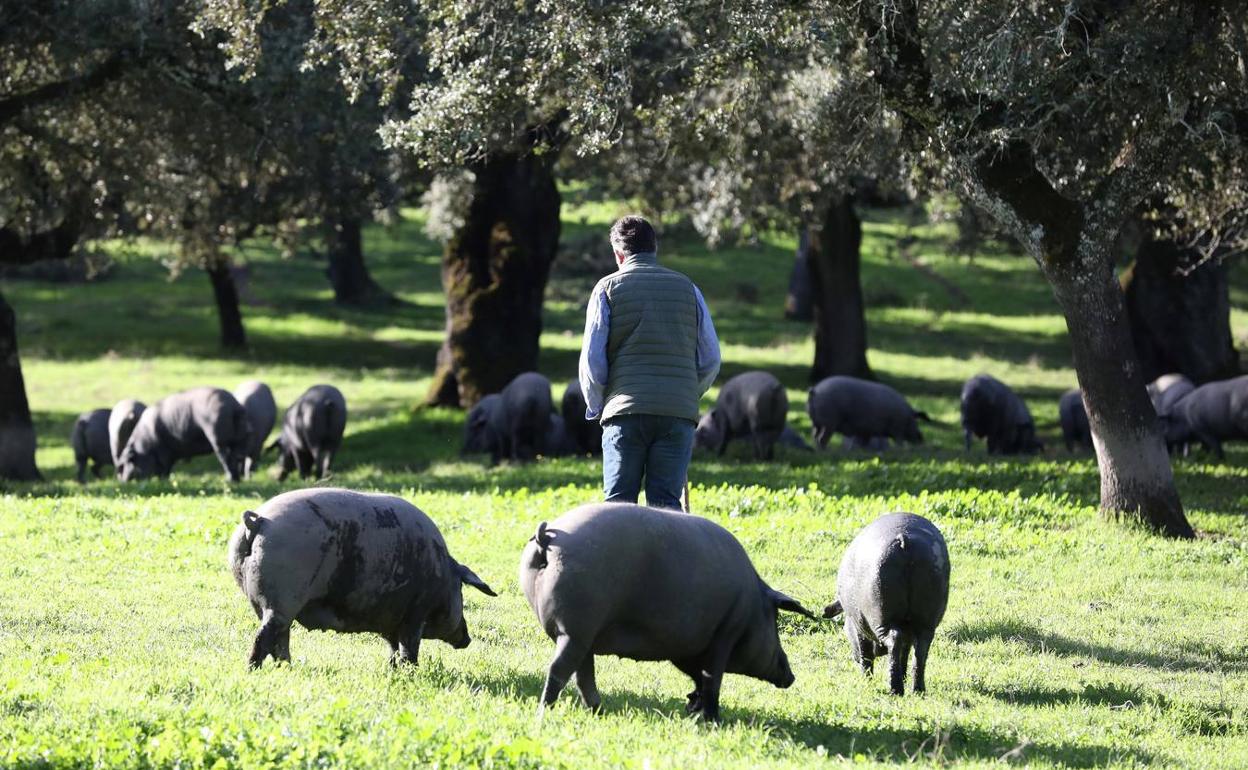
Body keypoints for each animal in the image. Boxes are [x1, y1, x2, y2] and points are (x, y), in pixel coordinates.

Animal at [117, 384, 250, 479]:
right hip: (240, 438)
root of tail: (233, 406)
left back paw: (230, 480)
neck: (146, 444)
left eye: (130, 461)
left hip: (217, 436)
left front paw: (162, 478)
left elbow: (165, 465)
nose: (123, 481)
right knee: (238, 456)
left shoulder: (163, 449)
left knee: (226, 458)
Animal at [232, 491, 494, 668]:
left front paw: (392, 670)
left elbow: (393, 648)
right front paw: (411, 671)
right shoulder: (415, 613)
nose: (467, 639)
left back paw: (287, 669)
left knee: (280, 641)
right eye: (461, 590)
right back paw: (253, 670)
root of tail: (259, 522)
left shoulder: (391, 620)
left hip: (264, 605)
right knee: (264, 638)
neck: (442, 575)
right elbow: (409, 649)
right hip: (282, 602)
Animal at [521, 501, 813, 718]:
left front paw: (692, 707)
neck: (751, 608)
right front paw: (712, 720)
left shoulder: (687, 648)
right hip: (576, 630)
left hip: (582, 636)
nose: (791, 676)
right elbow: (712, 679)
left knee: (583, 675)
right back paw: (544, 714)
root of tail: (547, 537)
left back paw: (599, 712)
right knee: (560, 670)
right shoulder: (725, 634)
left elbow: (698, 677)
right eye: (775, 619)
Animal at [828, 514, 943, 693]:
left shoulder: (859, 625)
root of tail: (904, 539)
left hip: (881, 618)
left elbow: (866, 653)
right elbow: (905, 653)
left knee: (893, 641)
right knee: (920, 651)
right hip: (926, 622)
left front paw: (866, 681)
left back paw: (895, 690)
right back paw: (917, 690)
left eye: (845, 626)